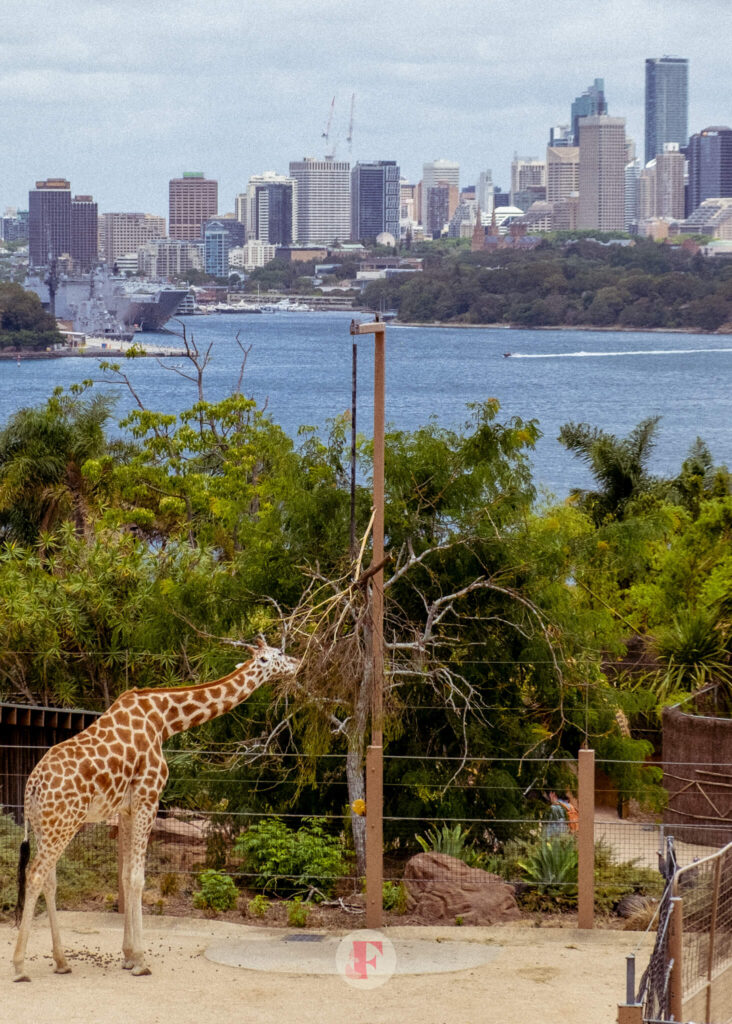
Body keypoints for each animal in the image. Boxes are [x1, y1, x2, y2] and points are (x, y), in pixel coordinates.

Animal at [13, 636, 299, 982]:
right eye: (278, 654)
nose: (297, 663)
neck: (165, 719)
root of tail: (31, 787)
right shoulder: (149, 797)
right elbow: (138, 878)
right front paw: (140, 960)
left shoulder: (125, 809)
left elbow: (125, 877)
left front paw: (127, 955)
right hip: (64, 824)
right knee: (35, 875)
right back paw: (19, 966)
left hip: (47, 826)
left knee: (49, 880)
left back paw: (61, 961)